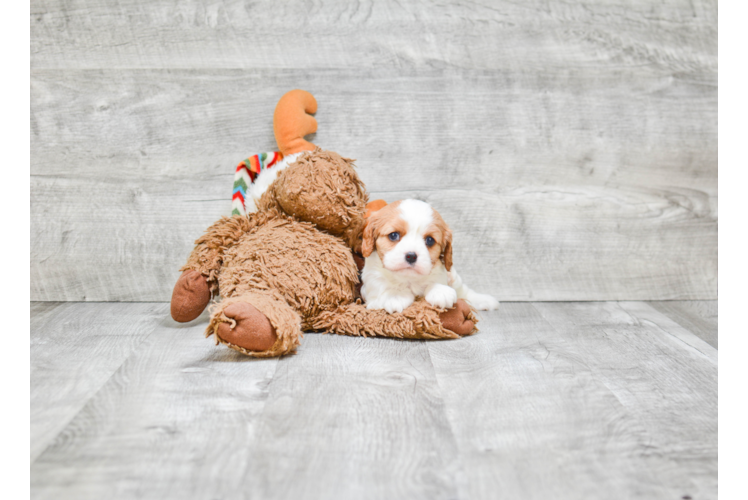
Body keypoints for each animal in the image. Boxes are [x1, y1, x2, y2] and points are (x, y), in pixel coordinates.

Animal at [360, 198, 500, 312]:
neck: (408, 279)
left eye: (430, 240)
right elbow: (381, 286)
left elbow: (436, 281)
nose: (411, 256)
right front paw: (395, 295)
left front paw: (440, 291)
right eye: (393, 235)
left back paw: (484, 300)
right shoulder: (371, 281)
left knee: (464, 291)